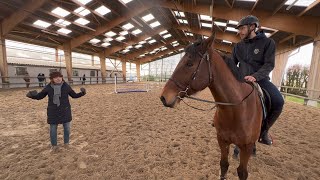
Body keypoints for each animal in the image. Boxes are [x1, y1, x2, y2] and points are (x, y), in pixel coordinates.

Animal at [160, 34, 262, 179]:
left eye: (189, 64)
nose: (164, 97)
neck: (237, 110)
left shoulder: (246, 147)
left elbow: (242, 172)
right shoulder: (222, 140)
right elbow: (224, 165)